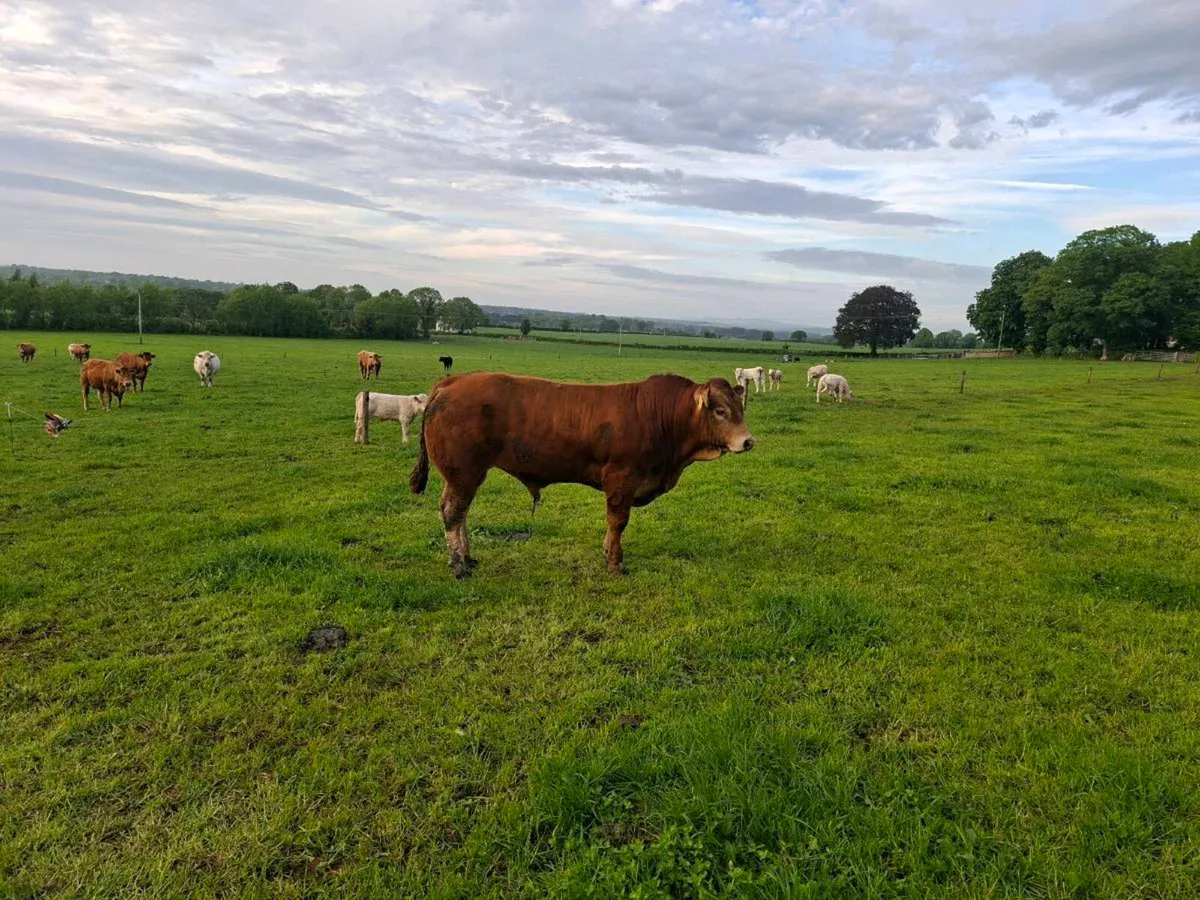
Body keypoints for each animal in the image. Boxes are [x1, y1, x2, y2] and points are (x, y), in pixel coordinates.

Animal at [410, 372, 753, 578]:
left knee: (461, 513)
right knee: (453, 513)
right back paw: (458, 565)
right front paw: (615, 561)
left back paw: (467, 557)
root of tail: (454, 380)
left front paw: (607, 551)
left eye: (740, 408)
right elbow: (618, 521)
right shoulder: (621, 479)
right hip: (462, 472)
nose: (749, 441)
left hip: (467, 474)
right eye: (720, 411)